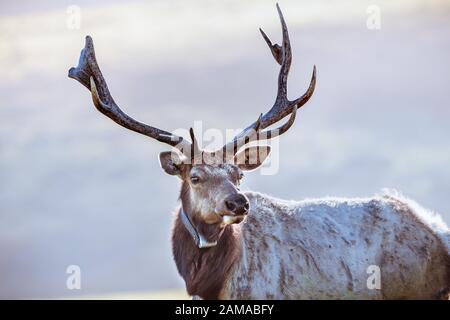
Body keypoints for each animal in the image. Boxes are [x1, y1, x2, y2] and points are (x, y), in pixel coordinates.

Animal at [68, 4, 448, 300]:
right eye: (195, 176)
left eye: (238, 174)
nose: (238, 203)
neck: (209, 285)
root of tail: (436, 231)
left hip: (413, 287)